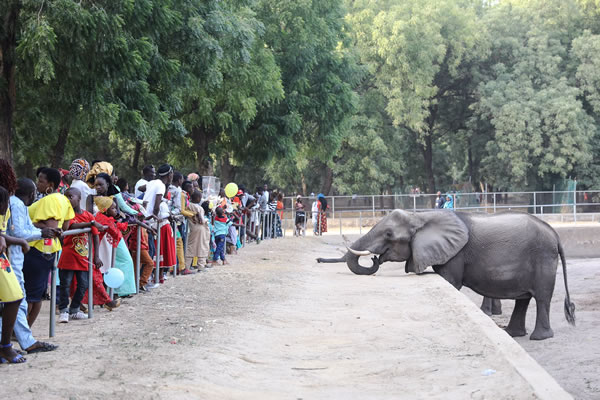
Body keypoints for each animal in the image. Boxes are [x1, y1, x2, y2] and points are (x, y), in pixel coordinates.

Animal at [318, 209, 576, 340]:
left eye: (389, 234)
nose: (375, 258)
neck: (422, 216)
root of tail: (556, 235)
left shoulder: (456, 254)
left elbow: (451, 282)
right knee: (524, 299)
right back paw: (513, 334)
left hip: (542, 257)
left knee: (541, 297)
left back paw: (539, 338)